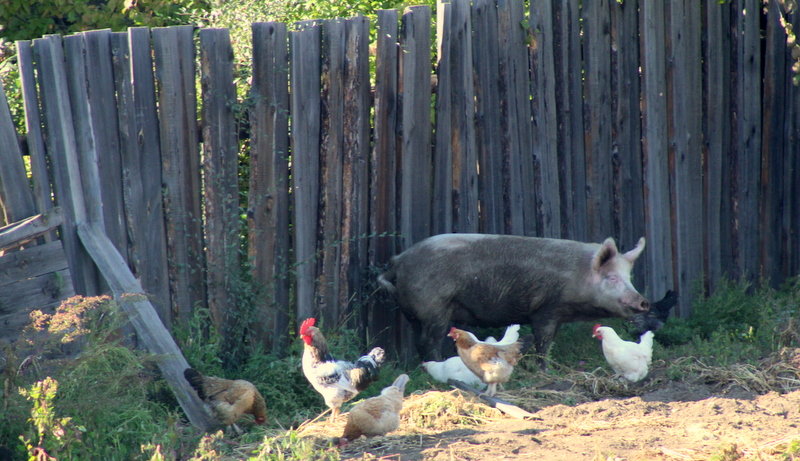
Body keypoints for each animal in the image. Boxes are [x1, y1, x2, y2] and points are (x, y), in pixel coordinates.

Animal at [376, 235, 648, 364]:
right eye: (611, 277)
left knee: (418, 341)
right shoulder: (546, 309)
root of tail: (399, 260)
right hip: (436, 308)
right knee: (428, 342)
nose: (644, 302)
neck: (579, 275)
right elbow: (543, 343)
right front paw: (544, 370)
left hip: (415, 314)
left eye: (630, 277)